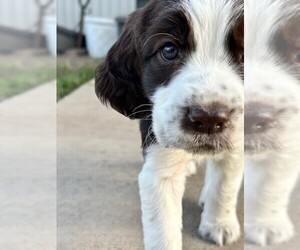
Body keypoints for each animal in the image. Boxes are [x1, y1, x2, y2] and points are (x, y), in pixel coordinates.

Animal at [96, 0, 244, 250]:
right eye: (168, 50)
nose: (209, 119)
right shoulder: (158, 163)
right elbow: (162, 229)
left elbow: (225, 186)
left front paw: (219, 224)